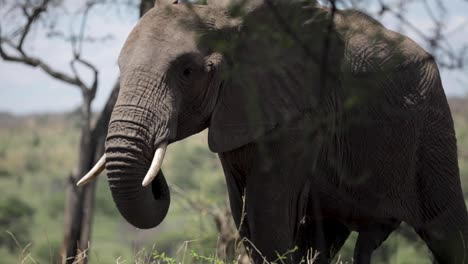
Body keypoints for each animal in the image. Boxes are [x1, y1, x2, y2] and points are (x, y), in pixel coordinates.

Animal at [78, 0, 466, 264]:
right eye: (120, 68)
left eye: (186, 72)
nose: (155, 178)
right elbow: (246, 215)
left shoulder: (299, 116)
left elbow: (268, 220)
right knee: (328, 235)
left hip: (432, 122)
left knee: (447, 229)